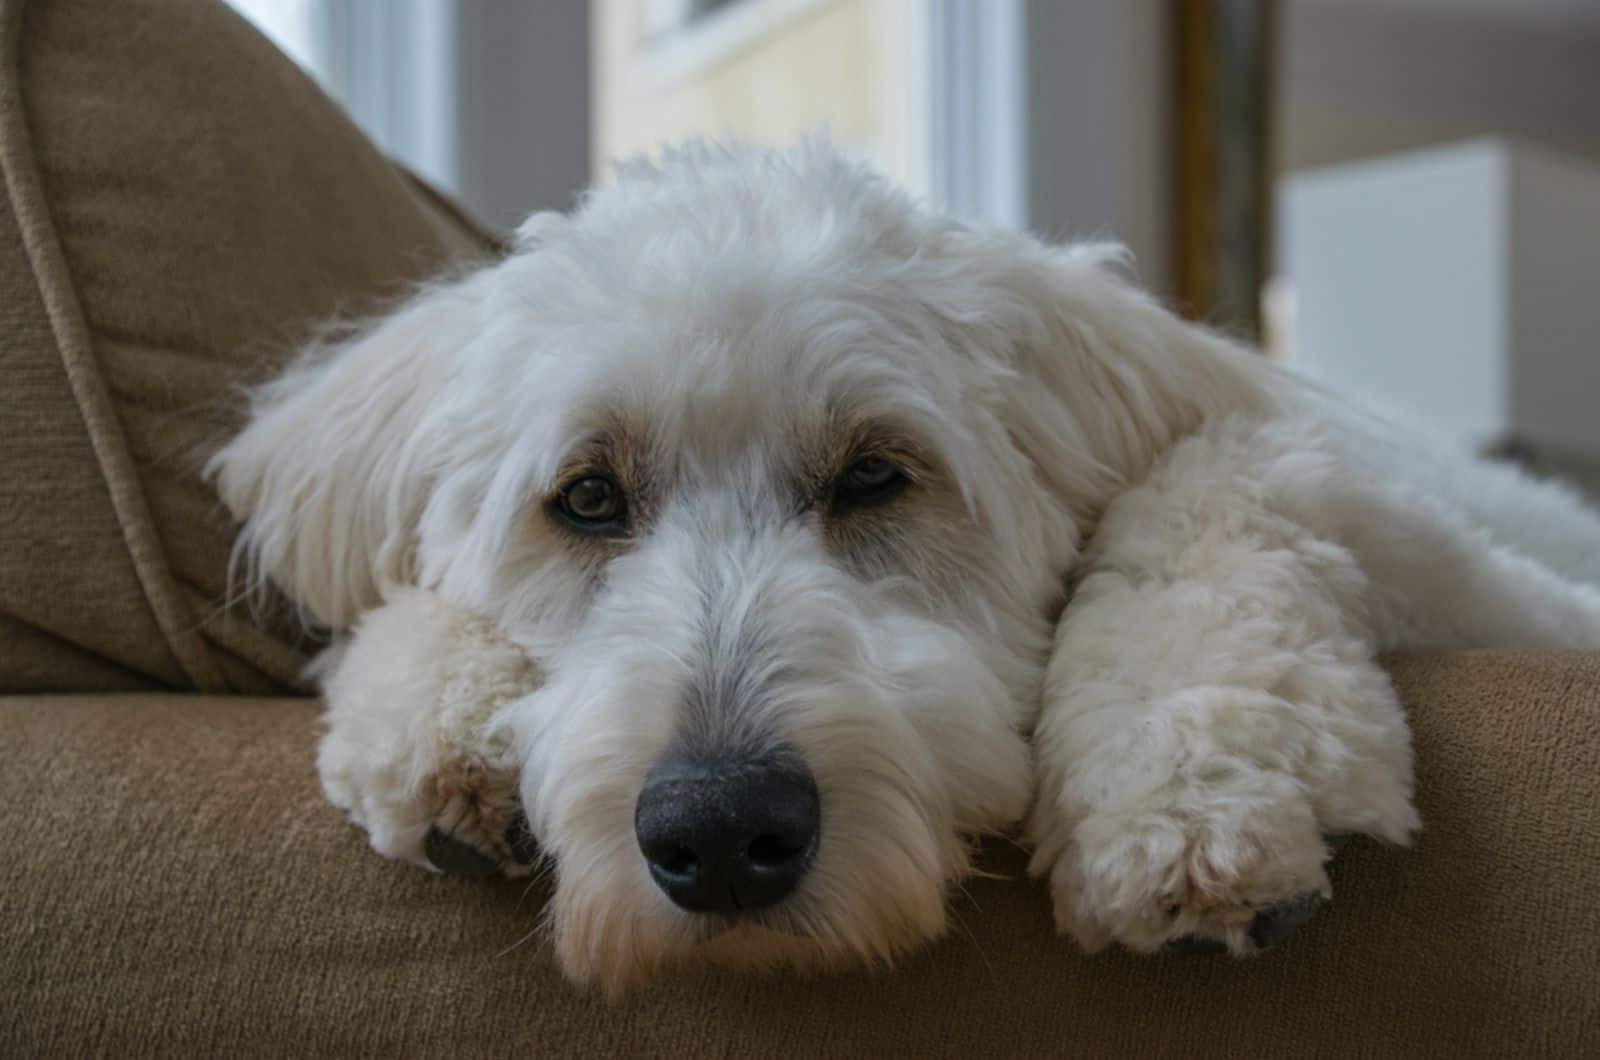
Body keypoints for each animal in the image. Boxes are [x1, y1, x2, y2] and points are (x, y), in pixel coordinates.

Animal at [209, 140, 1600, 999]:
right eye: (588, 498)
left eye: (877, 474)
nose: (719, 831)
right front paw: (434, 709)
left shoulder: (1489, 579)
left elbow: (1218, 472)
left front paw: (1182, 779)